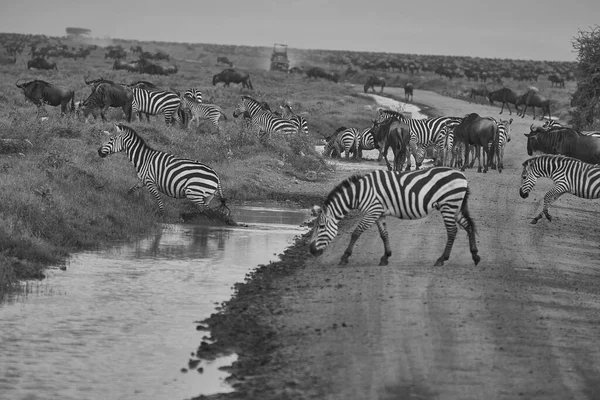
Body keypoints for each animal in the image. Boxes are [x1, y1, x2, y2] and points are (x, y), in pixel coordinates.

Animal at [98, 123, 230, 217]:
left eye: (111, 139)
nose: (98, 152)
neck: (144, 158)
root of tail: (216, 176)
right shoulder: (143, 180)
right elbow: (131, 189)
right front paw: (125, 199)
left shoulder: (150, 182)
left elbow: (158, 199)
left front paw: (161, 214)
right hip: (207, 196)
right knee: (207, 210)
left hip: (194, 193)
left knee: (210, 212)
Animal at [312, 167, 480, 268]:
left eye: (321, 227)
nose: (311, 251)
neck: (360, 193)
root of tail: (462, 176)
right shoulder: (379, 213)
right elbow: (384, 234)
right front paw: (385, 257)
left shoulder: (372, 211)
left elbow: (356, 232)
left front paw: (345, 257)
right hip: (455, 207)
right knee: (468, 226)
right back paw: (475, 256)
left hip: (449, 205)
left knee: (452, 231)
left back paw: (441, 259)